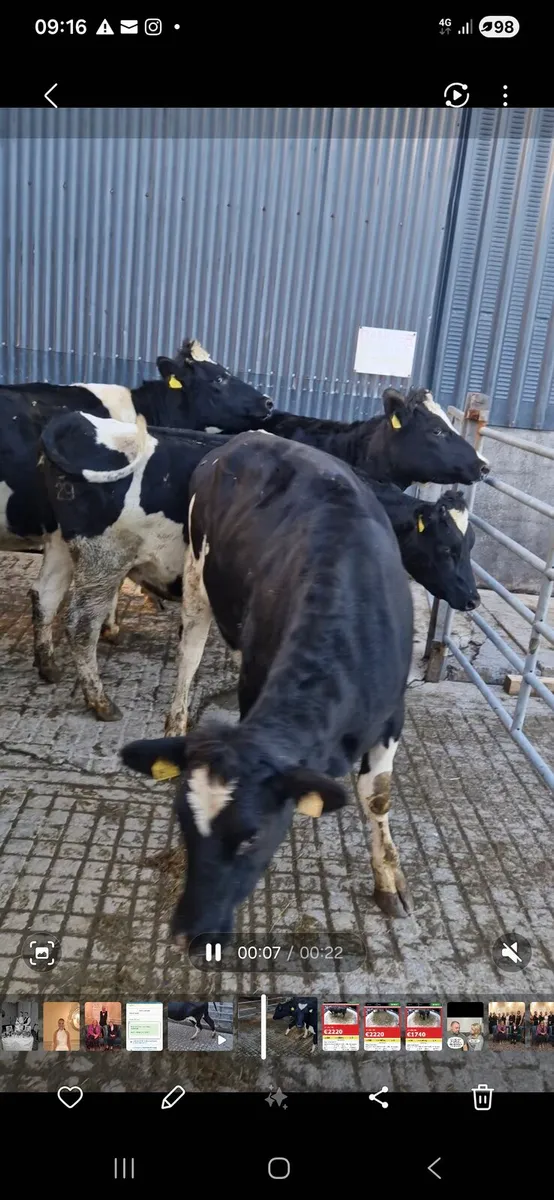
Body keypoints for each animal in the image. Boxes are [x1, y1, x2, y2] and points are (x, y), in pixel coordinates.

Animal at [121, 430, 415, 945]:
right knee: (190, 652)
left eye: (251, 836)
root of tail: (248, 437)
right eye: (184, 825)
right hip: (197, 575)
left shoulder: (391, 713)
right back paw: (176, 720)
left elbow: (377, 795)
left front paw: (388, 881)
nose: (189, 931)